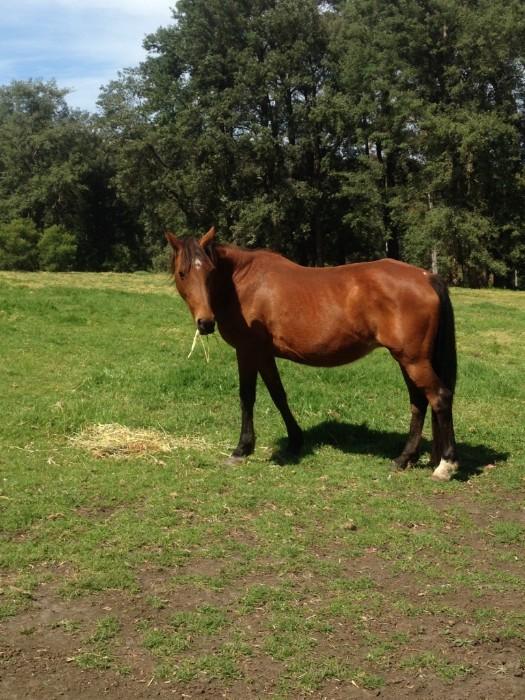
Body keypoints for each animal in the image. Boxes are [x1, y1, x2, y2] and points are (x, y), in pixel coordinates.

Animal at [166, 226, 459, 481]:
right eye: (183, 273)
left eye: (210, 272)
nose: (206, 323)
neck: (242, 283)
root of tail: (426, 277)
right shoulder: (264, 354)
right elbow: (278, 394)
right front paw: (295, 440)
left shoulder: (247, 351)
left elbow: (247, 397)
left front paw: (242, 449)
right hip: (408, 360)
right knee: (419, 402)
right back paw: (404, 458)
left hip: (413, 360)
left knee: (439, 398)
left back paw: (445, 466)